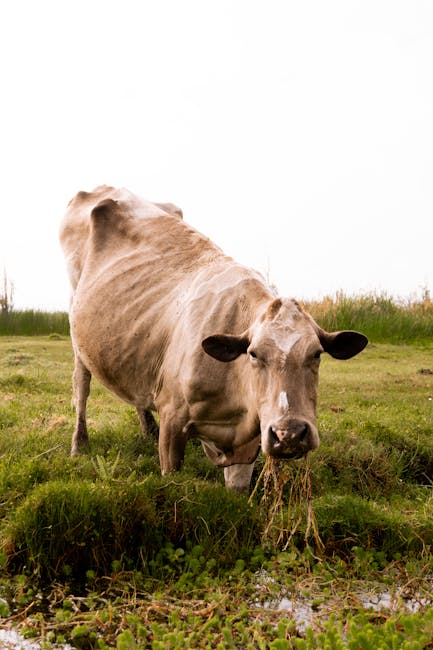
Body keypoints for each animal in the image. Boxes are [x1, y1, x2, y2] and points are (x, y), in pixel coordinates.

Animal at [59, 187, 366, 492]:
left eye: (316, 353)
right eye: (254, 354)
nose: (288, 434)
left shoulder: (248, 443)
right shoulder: (172, 419)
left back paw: (147, 430)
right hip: (77, 329)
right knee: (81, 386)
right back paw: (78, 446)